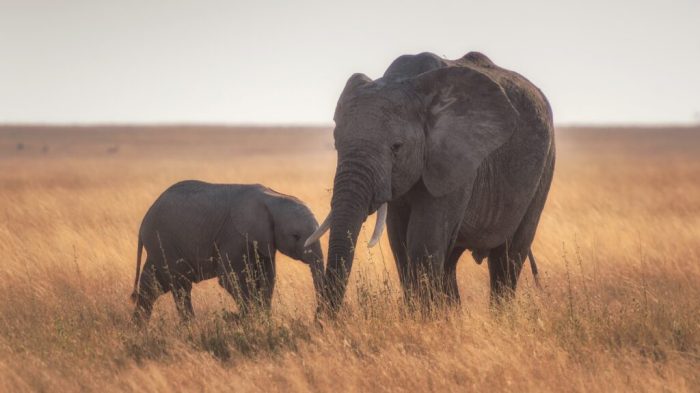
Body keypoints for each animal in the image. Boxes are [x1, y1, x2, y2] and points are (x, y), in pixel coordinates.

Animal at [130, 181, 324, 322]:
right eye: (296, 236)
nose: (317, 319)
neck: (273, 198)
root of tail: (143, 222)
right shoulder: (234, 236)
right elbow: (230, 278)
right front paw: (250, 321)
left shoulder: (264, 241)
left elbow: (267, 278)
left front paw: (263, 320)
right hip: (163, 241)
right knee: (180, 286)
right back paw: (190, 327)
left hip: (159, 246)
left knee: (152, 285)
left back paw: (139, 329)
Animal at [304, 51, 552, 312]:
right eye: (336, 143)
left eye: (396, 147)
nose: (323, 319)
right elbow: (400, 243)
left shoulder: (456, 160)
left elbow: (423, 242)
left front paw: (425, 318)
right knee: (451, 261)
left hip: (545, 166)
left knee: (507, 257)